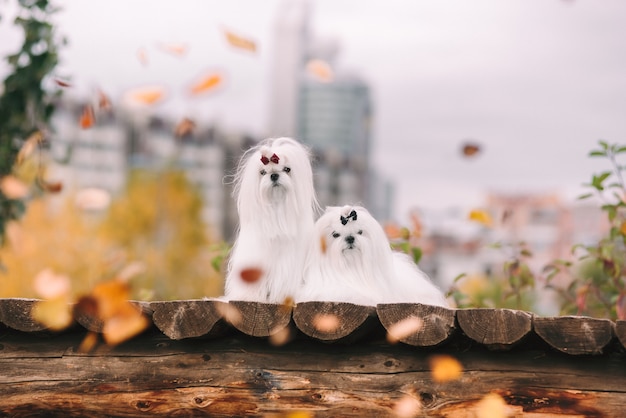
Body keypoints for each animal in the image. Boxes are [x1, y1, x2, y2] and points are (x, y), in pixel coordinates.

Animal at [223, 137, 316, 304]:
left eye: (287, 169)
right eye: (263, 172)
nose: (273, 175)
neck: (277, 209)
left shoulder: (289, 262)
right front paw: (249, 296)